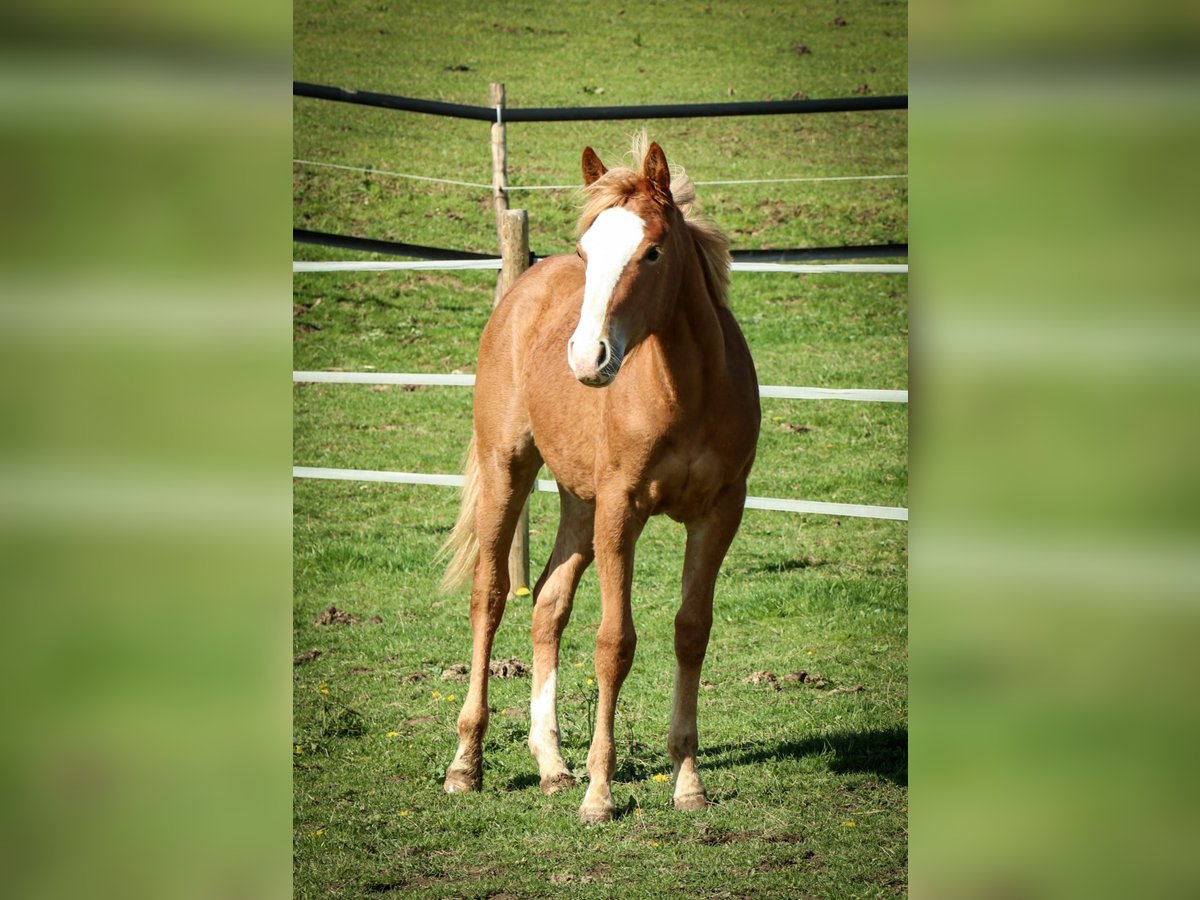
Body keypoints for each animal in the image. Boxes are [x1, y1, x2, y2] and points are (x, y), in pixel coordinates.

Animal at [437, 135, 760, 824]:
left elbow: (691, 632)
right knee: (490, 597)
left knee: (548, 605)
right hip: (509, 471)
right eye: (588, 251)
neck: (685, 391)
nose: (587, 358)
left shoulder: (720, 511)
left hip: (578, 502)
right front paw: (600, 794)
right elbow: (614, 644)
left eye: (653, 250)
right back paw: (466, 764)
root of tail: (522, 286)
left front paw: (688, 782)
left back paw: (552, 765)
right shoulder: (621, 510)